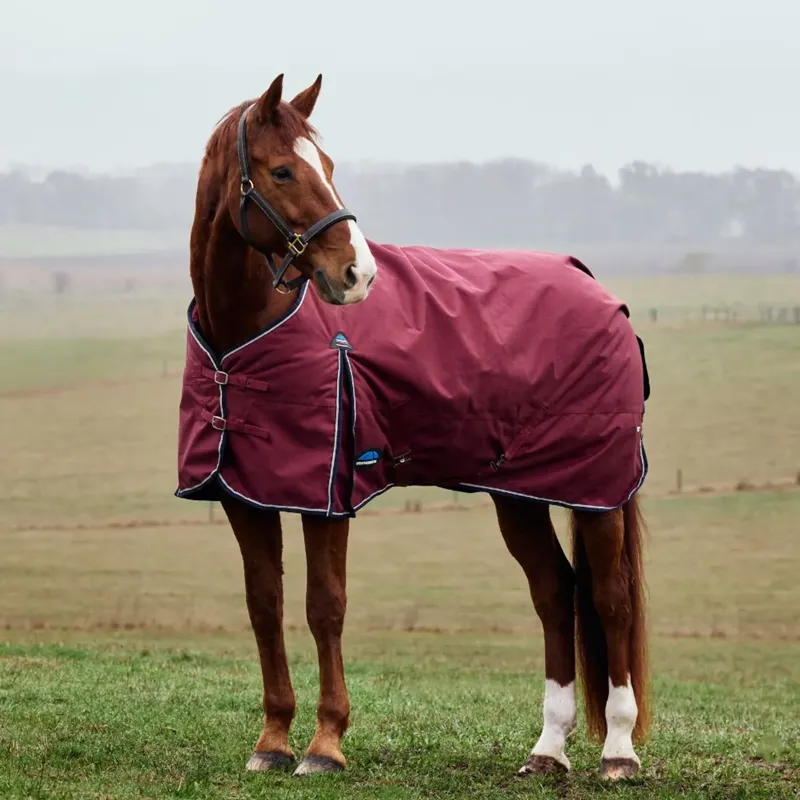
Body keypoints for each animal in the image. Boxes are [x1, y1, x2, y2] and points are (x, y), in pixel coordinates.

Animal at [177, 73, 651, 781]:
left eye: (329, 166)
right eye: (283, 170)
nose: (357, 274)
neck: (243, 338)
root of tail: (598, 292)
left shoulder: (327, 496)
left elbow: (325, 606)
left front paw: (325, 745)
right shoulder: (245, 494)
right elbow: (265, 605)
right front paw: (272, 741)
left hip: (597, 489)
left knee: (610, 597)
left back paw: (618, 750)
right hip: (518, 494)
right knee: (554, 591)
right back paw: (547, 750)